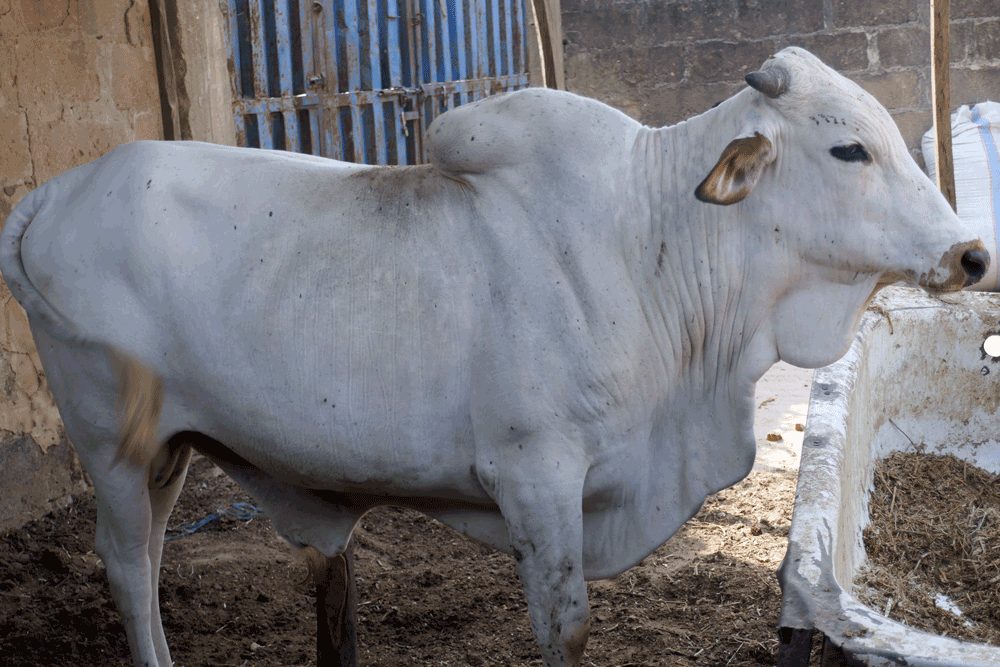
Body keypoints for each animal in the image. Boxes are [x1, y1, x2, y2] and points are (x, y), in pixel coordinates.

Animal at [0, 47, 988, 666]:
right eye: (847, 147)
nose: (972, 253)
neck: (654, 244)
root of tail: (54, 193)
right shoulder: (535, 475)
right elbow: (566, 626)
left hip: (170, 447)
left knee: (149, 555)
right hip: (112, 439)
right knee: (128, 567)